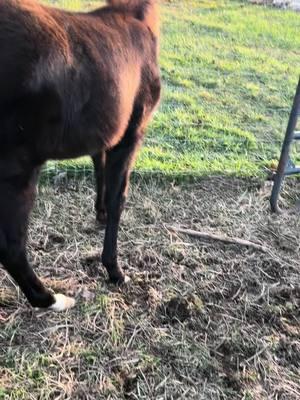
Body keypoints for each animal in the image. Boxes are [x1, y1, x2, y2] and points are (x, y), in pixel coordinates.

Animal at [0, 0, 161, 310]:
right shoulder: (132, 132)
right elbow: (118, 198)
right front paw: (115, 270)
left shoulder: (105, 132)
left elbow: (99, 167)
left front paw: (99, 215)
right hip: (18, 167)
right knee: (10, 246)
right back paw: (51, 299)